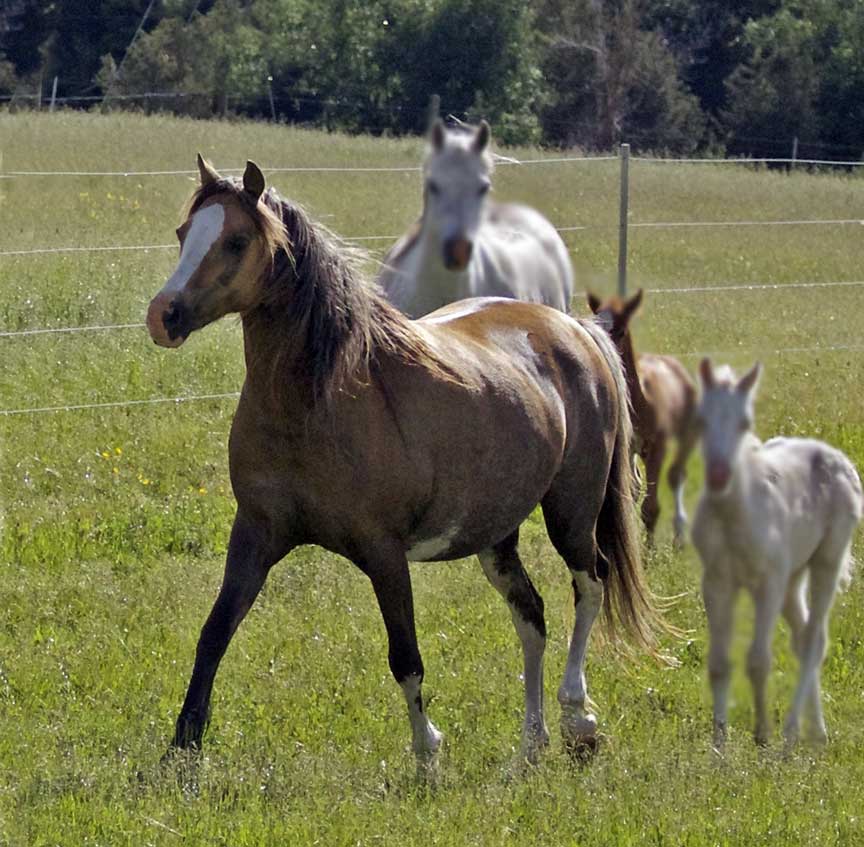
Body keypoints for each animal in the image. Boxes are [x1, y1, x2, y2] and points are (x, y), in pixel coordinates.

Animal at [148, 156, 660, 764]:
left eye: (236, 240)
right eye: (184, 233)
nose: (163, 315)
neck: (317, 401)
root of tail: (574, 329)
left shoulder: (384, 553)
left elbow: (406, 657)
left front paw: (427, 755)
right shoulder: (254, 535)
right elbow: (213, 635)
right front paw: (182, 749)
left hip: (572, 512)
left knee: (591, 586)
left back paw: (577, 718)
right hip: (496, 536)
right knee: (531, 615)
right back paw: (530, 746)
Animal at [588, 288, 704, 548]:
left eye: (621, 330)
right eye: (594, 323)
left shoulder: (657, 446)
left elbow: (651, 507)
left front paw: (650, 551)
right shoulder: (624, 446)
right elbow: (630, 491)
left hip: (688, 434)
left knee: (676, 475)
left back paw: (679, 536)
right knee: (636, 485)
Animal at [692, 358, 860, 748]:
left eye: (744, 422)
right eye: (701, 419)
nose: (718, 475)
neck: (735, 513)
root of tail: (836, 458)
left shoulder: (767, 583)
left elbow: (758, 660)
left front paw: (762, 737)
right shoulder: (717, 582)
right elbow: (719, 663)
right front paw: (719, 744)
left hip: (825, 561)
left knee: (814, 639)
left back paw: (791, 734)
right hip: (792, 577)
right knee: (801, 636)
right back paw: (816, 732)